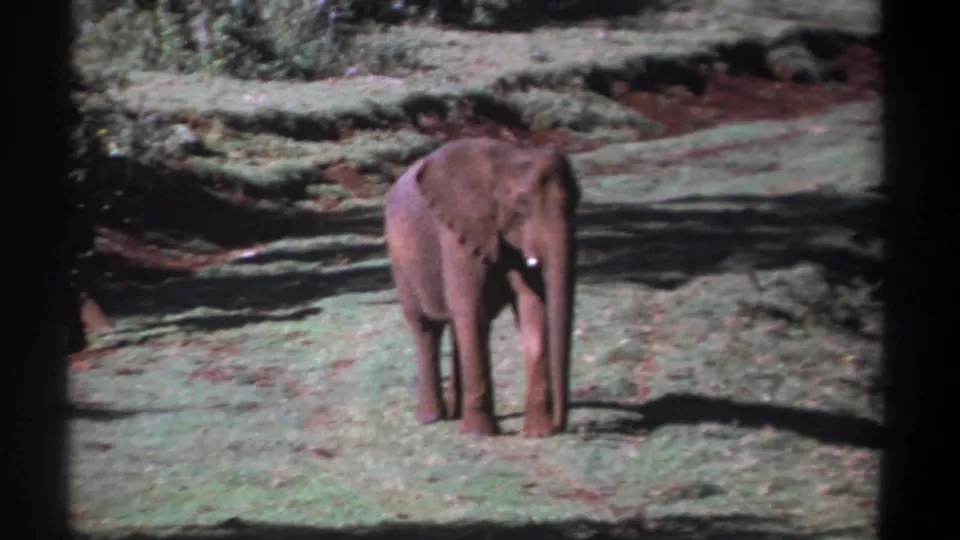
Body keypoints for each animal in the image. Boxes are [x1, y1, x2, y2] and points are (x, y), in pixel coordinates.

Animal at [383, 137, 581, 438]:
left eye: (577, 201)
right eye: (522, 202)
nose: (562, 425)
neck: (507, 158)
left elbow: (532, 306)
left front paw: (538, 433)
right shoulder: (457, 231)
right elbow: (471, 308)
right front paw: (480, 433)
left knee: (455, 326)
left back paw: (455, 414)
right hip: (402, 264)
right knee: (426, 329)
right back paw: (432, 418)